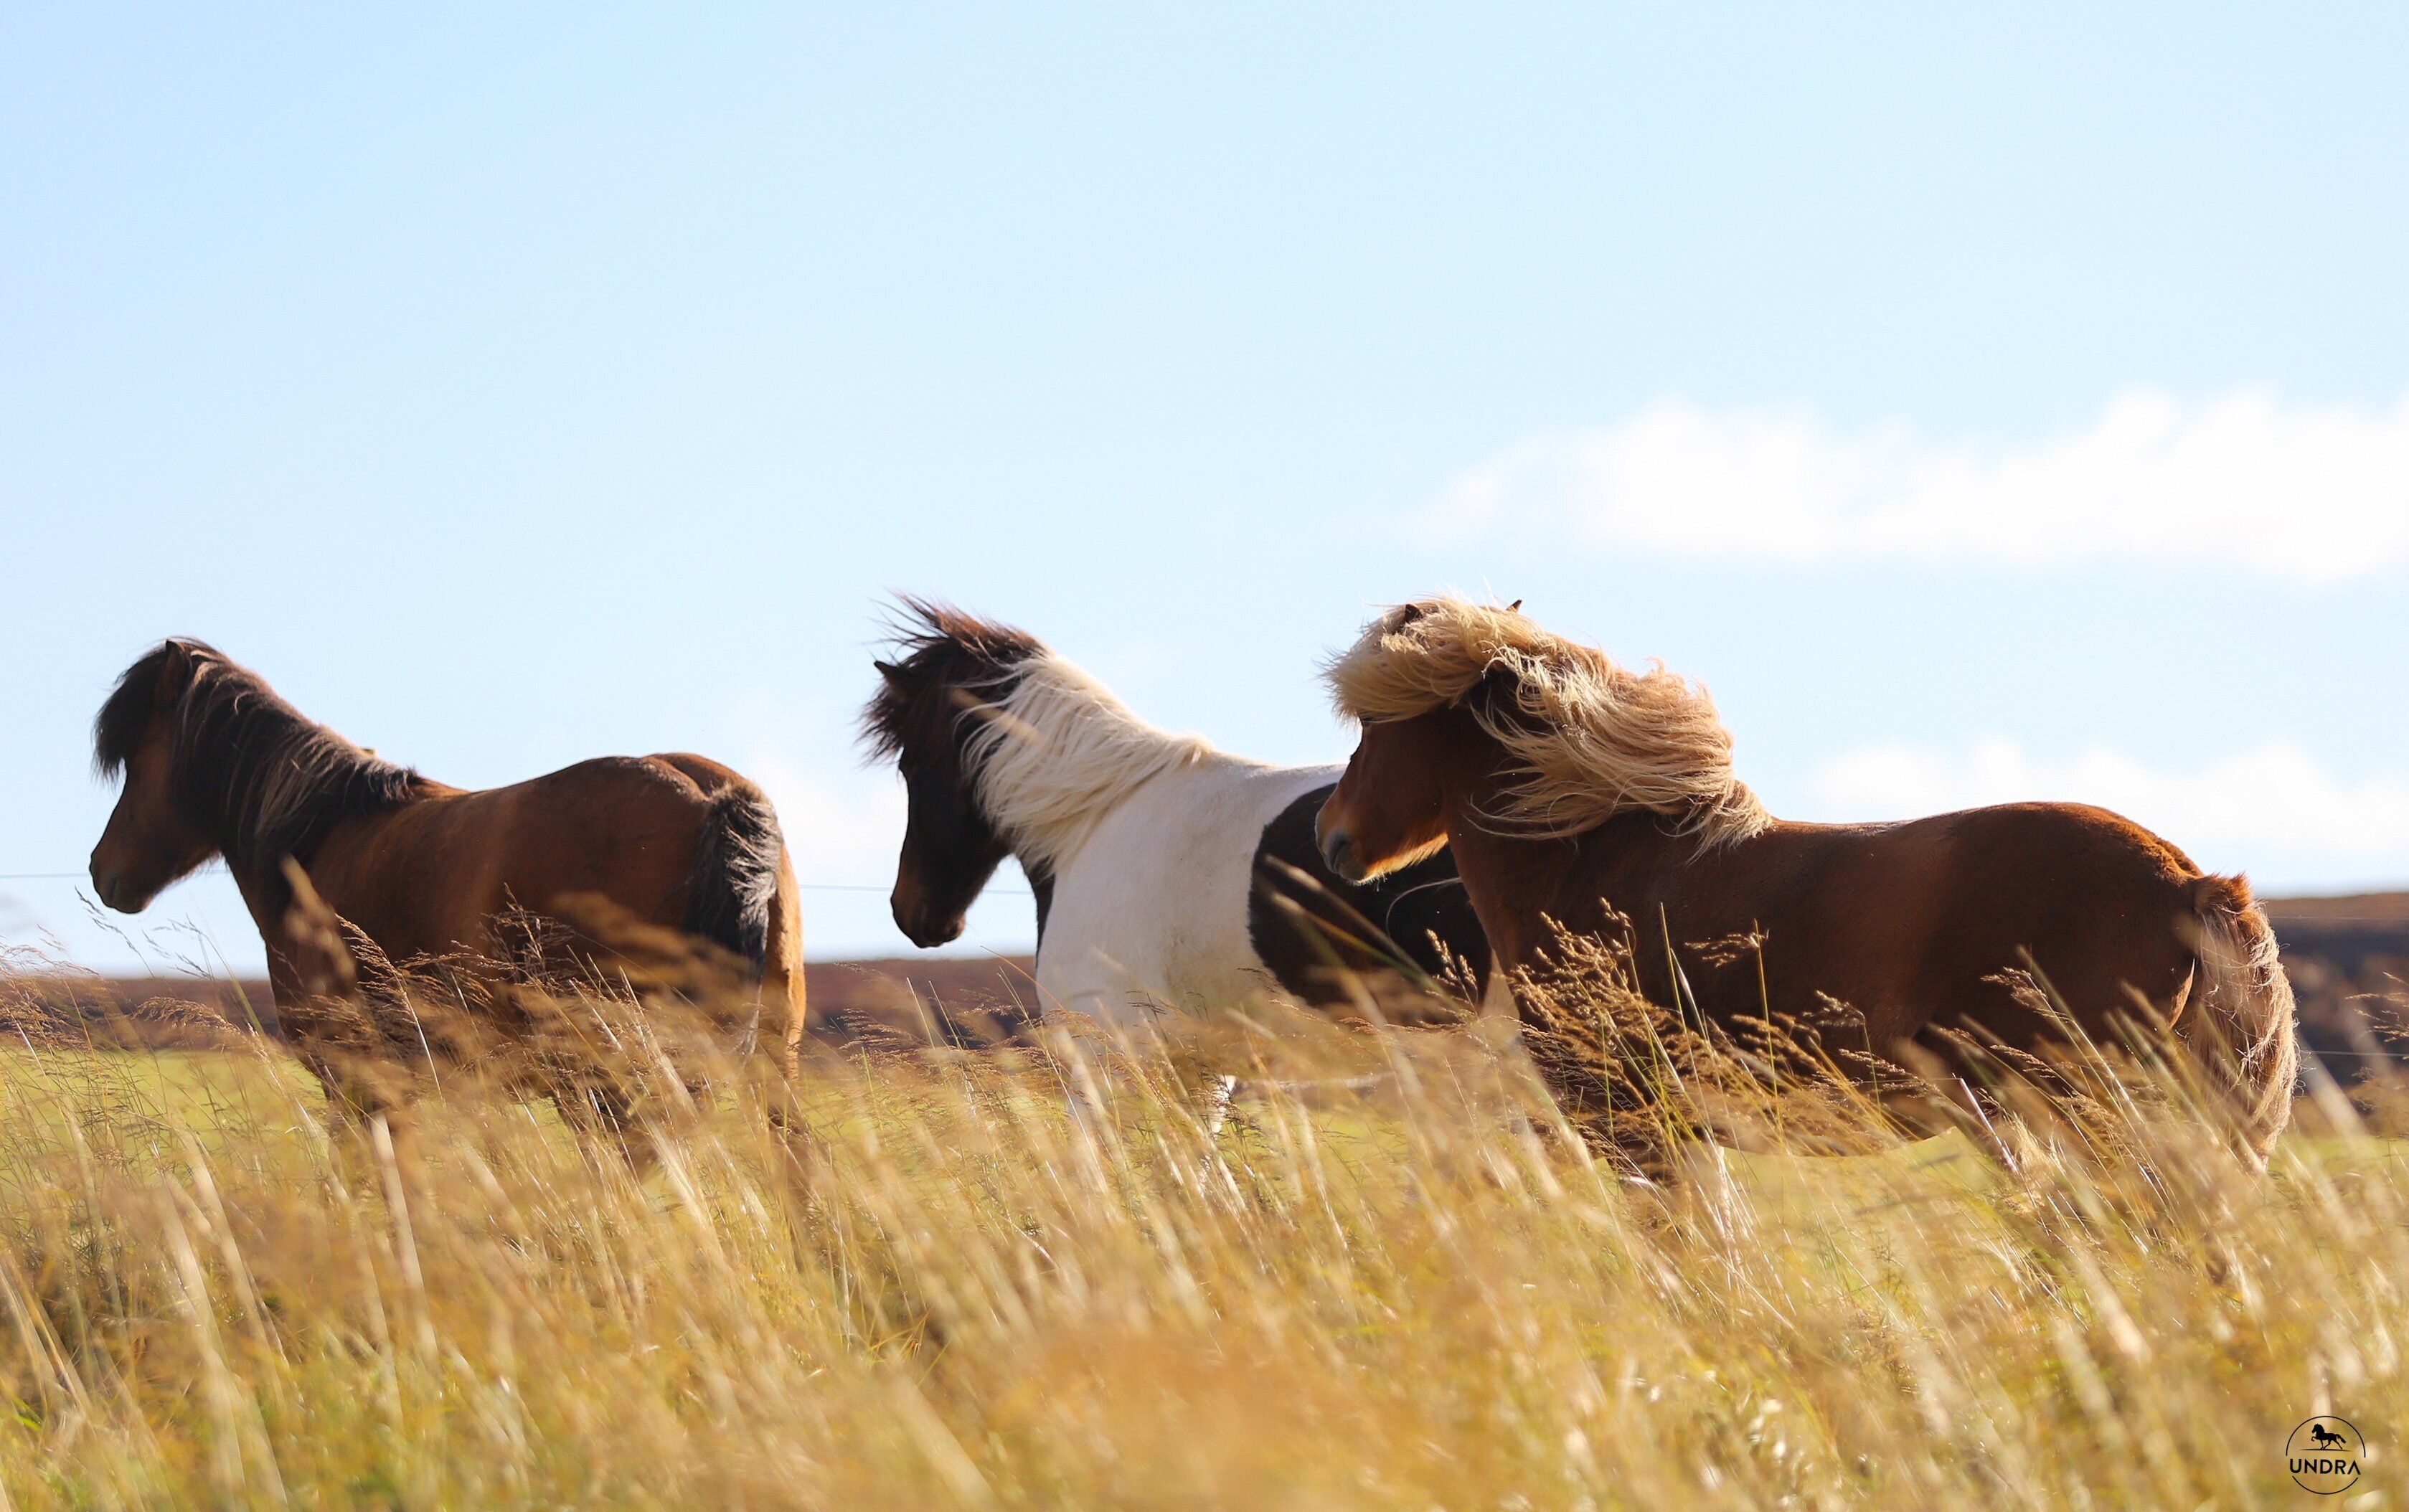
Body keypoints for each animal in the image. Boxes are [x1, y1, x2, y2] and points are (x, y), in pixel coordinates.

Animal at [90, 638, 805, 1121]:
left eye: (137, 761)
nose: (102, 871)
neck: (320, 832)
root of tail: (707, 796)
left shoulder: (356, 1084)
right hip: (772, 1066)